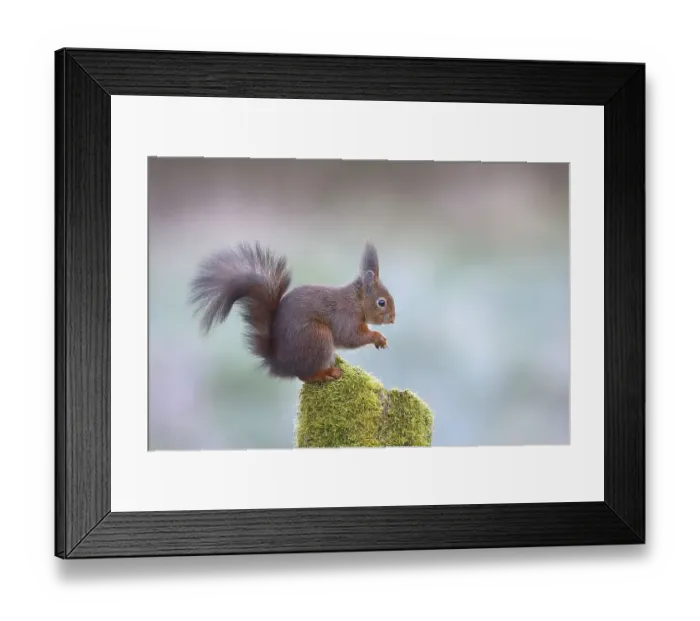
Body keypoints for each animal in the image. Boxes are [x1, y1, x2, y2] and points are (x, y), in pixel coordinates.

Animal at [189, 242, 396, 383]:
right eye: (381, 302)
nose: (393, 319)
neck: (356, 302)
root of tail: (282, 364)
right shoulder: (345, 317)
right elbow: (350, 336)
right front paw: (378, 337)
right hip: (317, 336)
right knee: (306, 376)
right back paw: (327, 373)